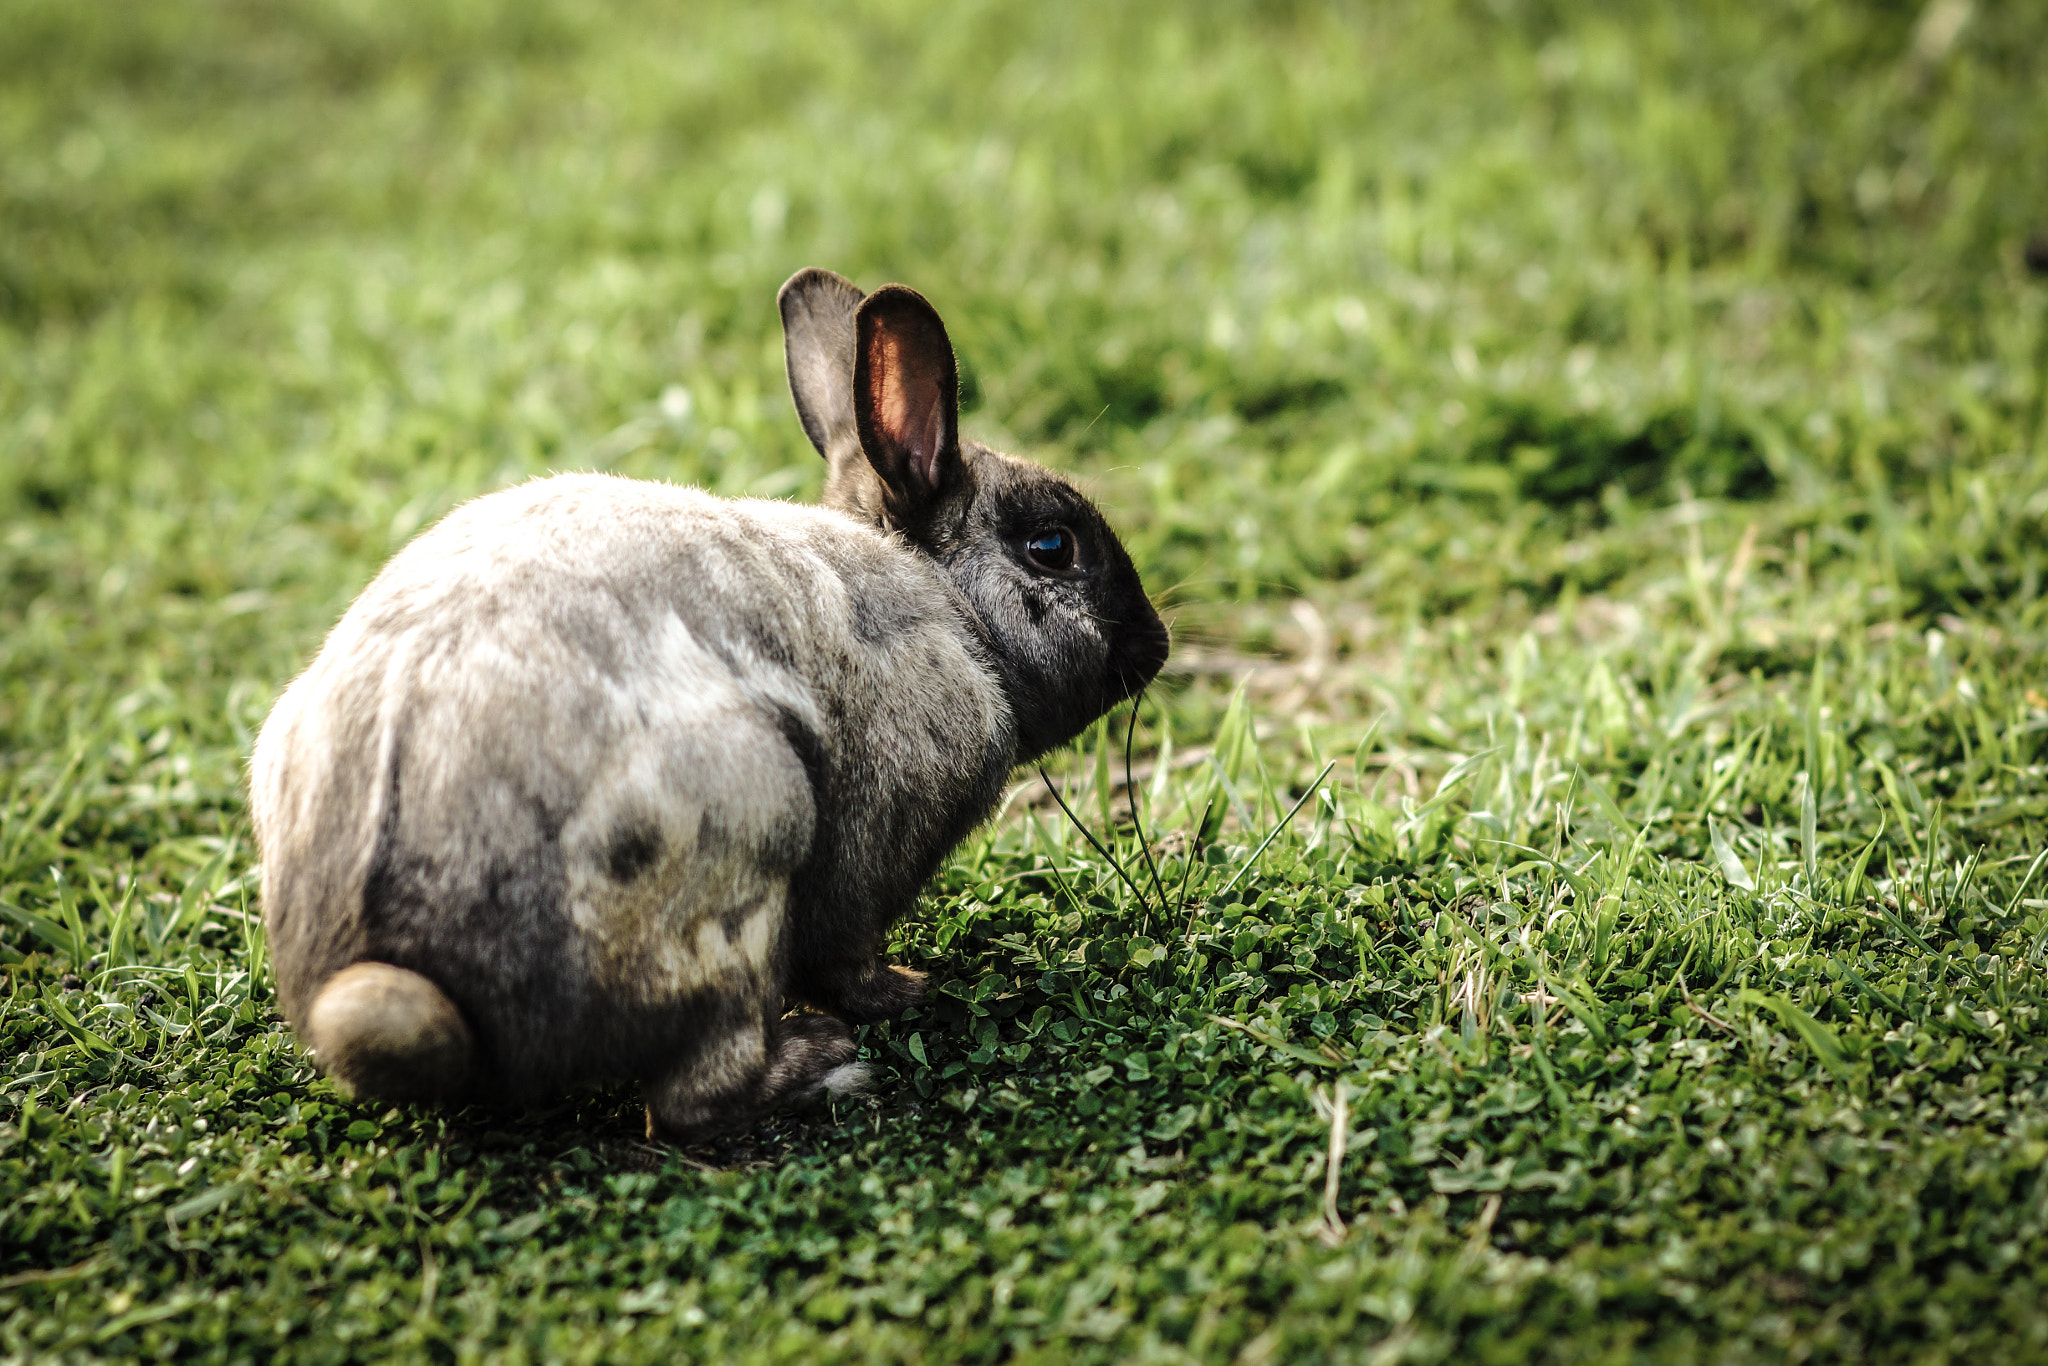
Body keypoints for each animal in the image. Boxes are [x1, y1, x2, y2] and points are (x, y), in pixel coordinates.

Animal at [247, 266, 1171, 1146]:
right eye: (1051, 547)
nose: (1155, 645)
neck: (951, 606)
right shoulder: (873, 843)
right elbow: (848, 957)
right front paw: (908, 991)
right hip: (742, 849)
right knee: (694, 1099)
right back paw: (824, 1066)